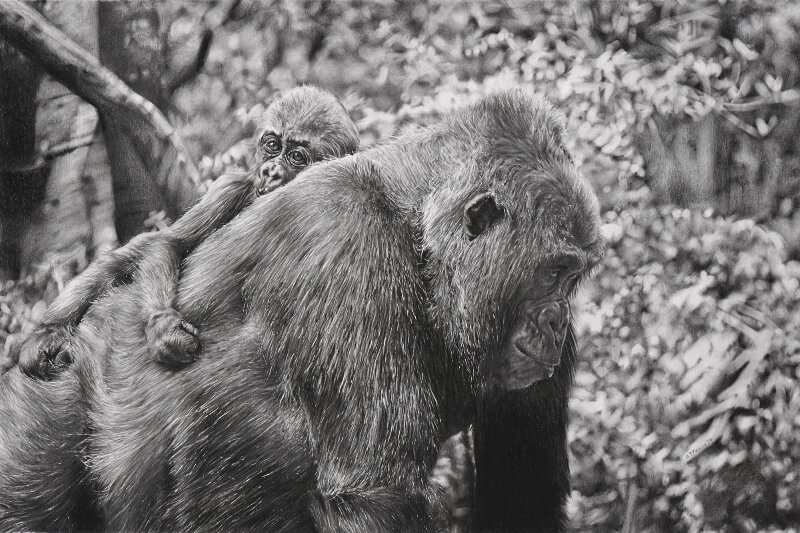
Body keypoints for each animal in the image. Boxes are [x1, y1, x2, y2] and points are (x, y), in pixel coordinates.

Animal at [14, 87, 360, 376]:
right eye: (272, 146)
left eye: (297, 157)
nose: (270, 171)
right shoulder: (230, 186)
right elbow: (170, 242)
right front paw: (163, 328)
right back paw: (47, 331)